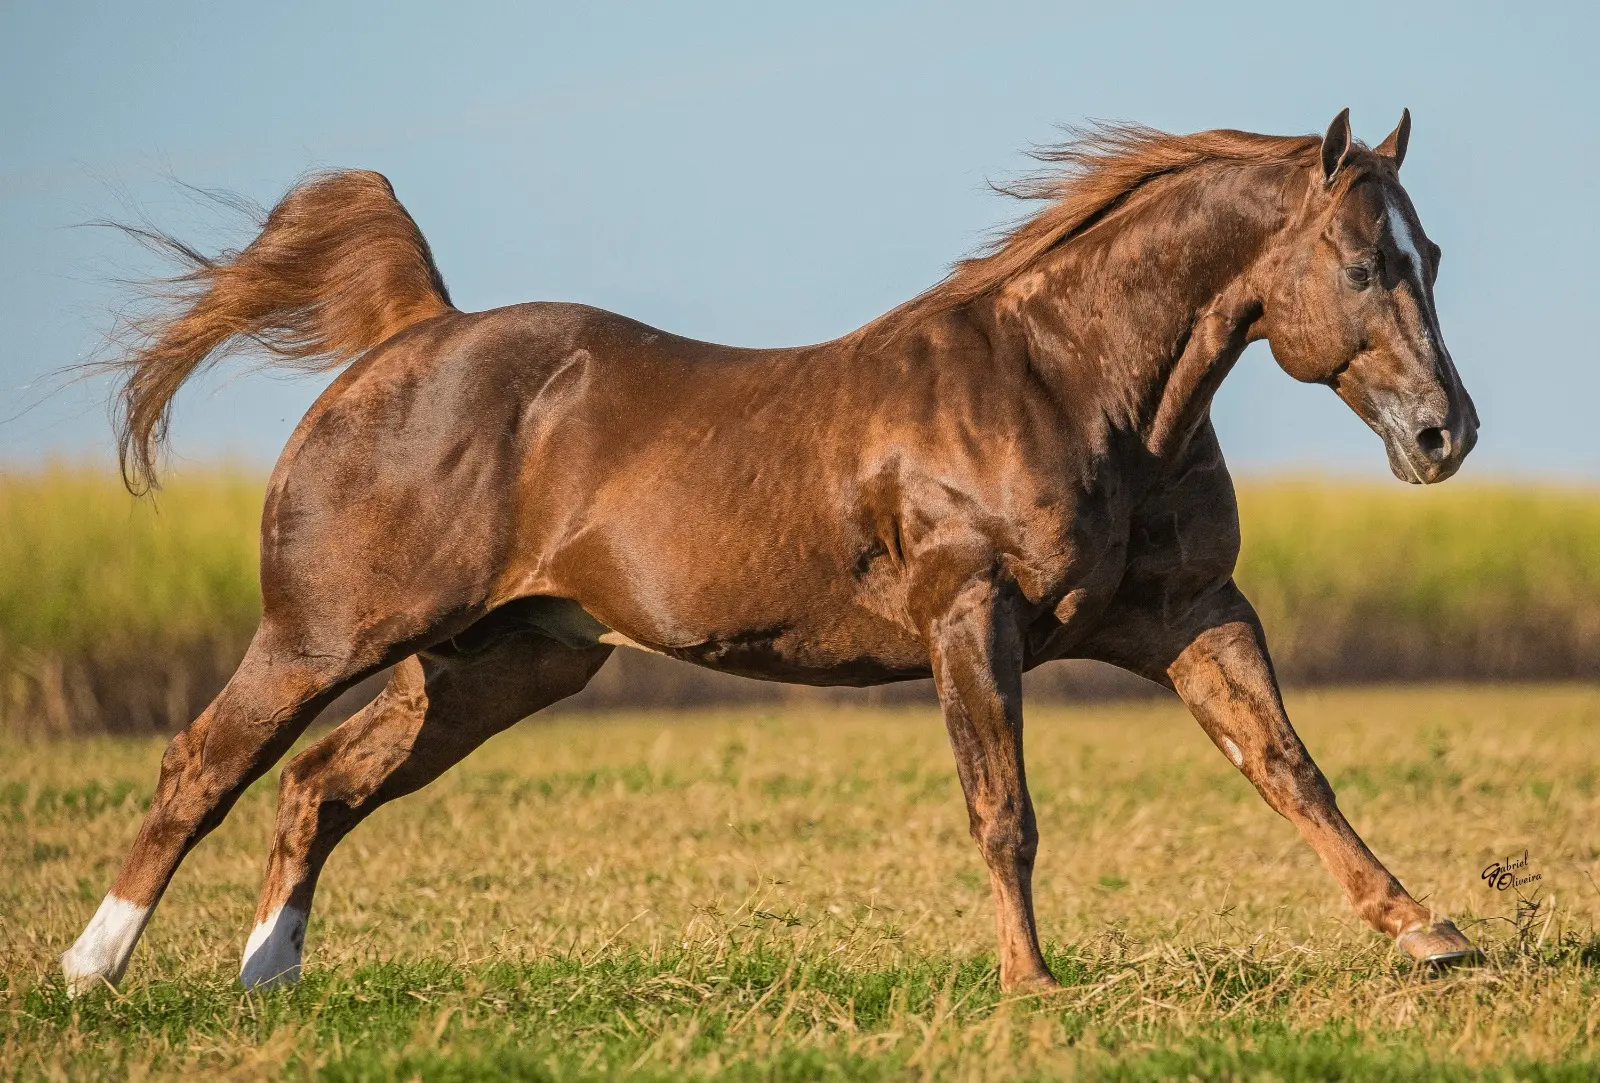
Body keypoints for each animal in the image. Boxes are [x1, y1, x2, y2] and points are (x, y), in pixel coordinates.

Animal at [68, 105, 1478, 991]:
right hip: (326, 636)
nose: (1443, 432)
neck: (1071, 388)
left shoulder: (1191, 613)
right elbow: (1003, 808)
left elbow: (1289, 770)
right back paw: (95, 971)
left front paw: (1429, 933)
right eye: (1362, 266)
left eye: (1431, 252)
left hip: (498, 664)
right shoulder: (971, 616)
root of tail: (416, 335)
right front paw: (1031, 981)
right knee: (207, 764)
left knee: (320, 783)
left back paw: (270, 981)